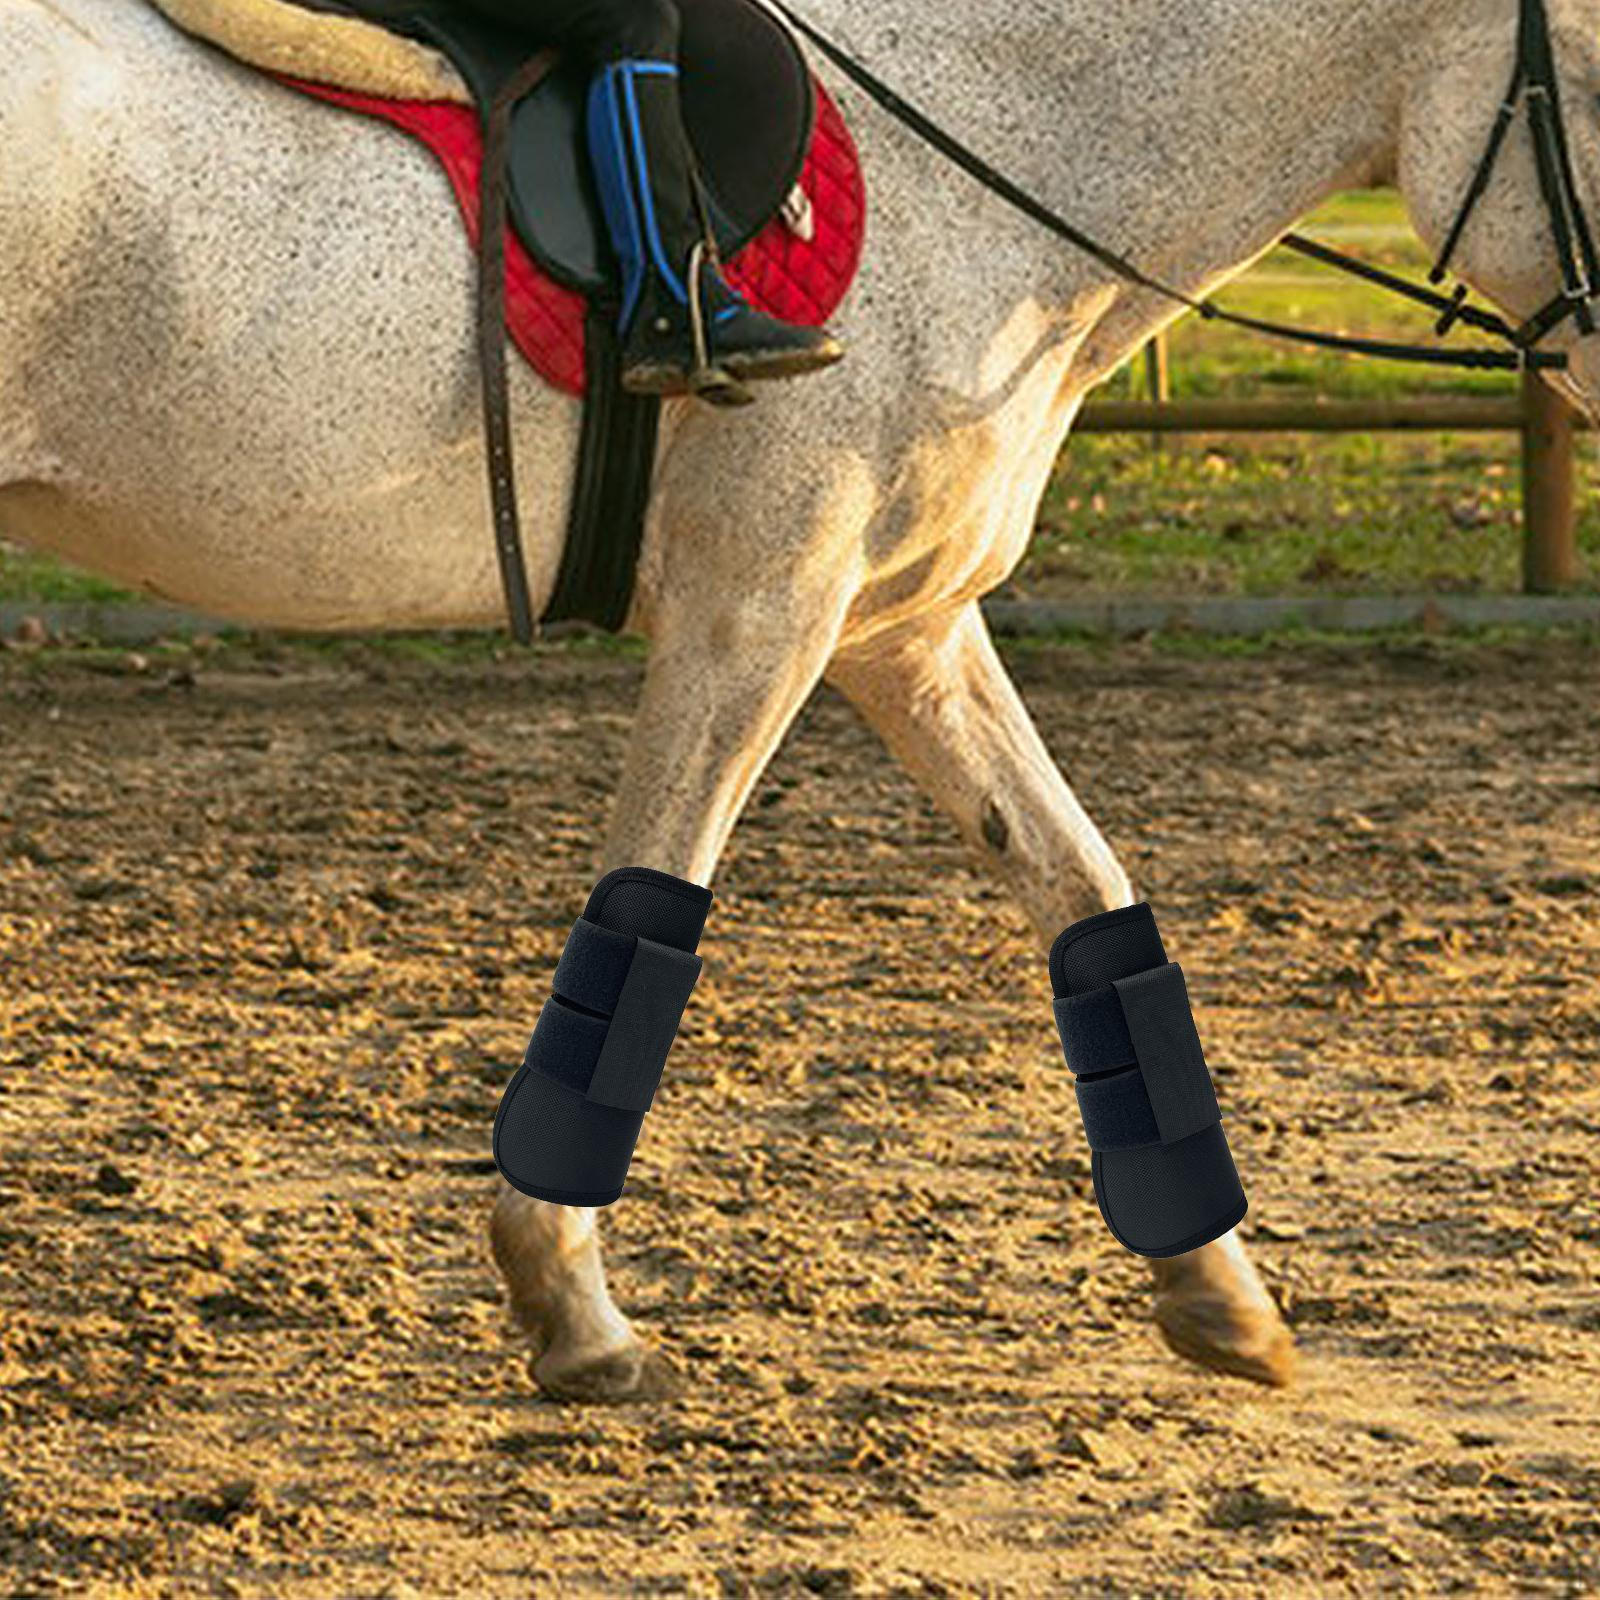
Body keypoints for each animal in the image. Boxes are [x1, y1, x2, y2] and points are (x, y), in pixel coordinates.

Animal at [3, 0, 1595, 1399]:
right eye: (1586, 72)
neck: (980, 158)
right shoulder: (759, 611)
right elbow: (647, 912)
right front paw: (570, 1303)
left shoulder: (903, 629)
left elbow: (1083, 892)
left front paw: (1221, 1294)